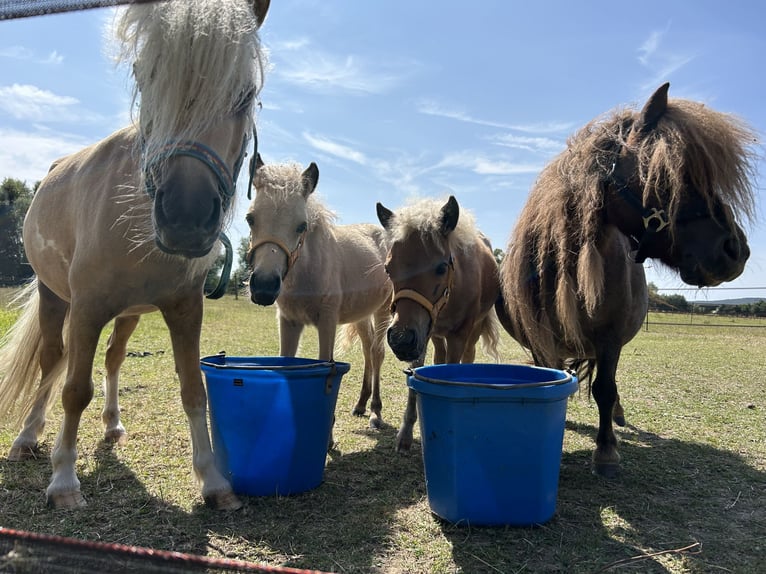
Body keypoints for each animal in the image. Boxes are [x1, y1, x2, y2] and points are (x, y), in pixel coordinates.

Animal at [0, 0, 272, 512]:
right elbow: (73, 390)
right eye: (145, 77)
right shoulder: (87, 307)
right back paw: (27, 437)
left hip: (127, 313)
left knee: (111, 358)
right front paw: (64, 481)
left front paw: (214, 482)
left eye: (245, 94)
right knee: (52, 360)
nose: (185, 217)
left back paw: (111, 425)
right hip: (54, 296)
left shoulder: (184, 309)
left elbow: (193, 389)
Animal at [246, 155, 392, 434]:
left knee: (378, 352)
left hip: (383, 309)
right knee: (368, 350)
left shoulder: (327, 321)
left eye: (301, 225)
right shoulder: (288, 321)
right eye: (250, 218)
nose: (264, 288)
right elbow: (285, 362)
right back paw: (360, 404)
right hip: (361, 313)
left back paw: (375, 412)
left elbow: (327, 363)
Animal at [376, 196, 504, 452]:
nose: (400, 340)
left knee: (468, 357)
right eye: (388, 268)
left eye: (441, 267)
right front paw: (406, 434)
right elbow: (417, 376)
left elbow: (451, 373)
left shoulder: (458, 335)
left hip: (474, 330)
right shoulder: (423, 333)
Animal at [498, 81, 756, 476]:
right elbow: (551, 379)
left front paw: (606, 452)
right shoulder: (542, 341)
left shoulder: (611, 338)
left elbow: (605, 389)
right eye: (667, 174)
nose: (735, 250)